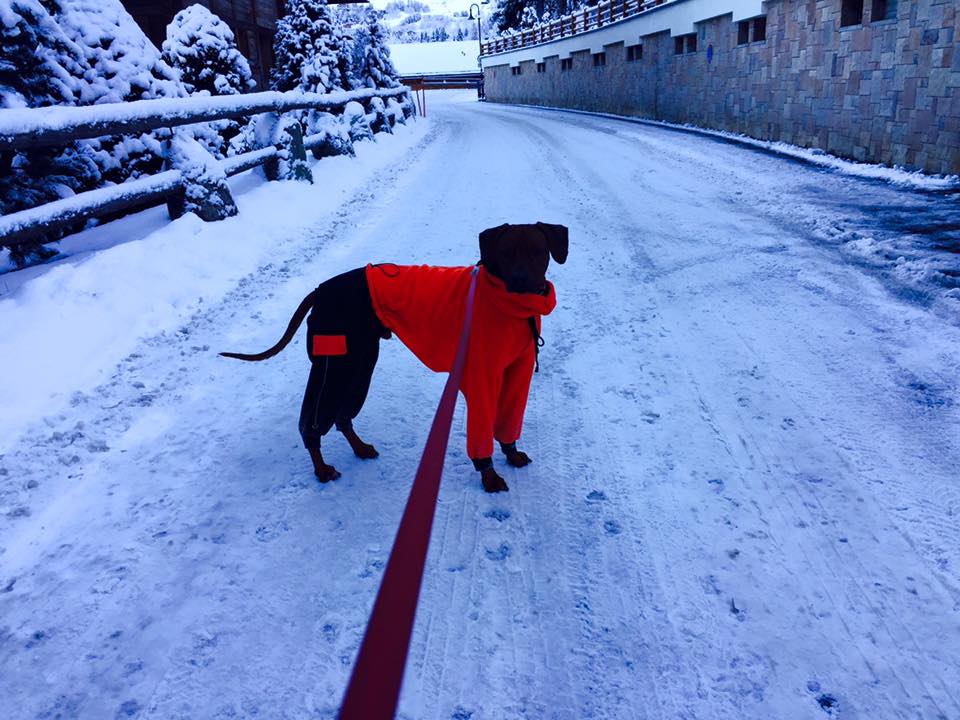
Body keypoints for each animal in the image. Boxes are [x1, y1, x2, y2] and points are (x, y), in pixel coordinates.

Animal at [220, 222, 568, 493]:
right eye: (506, 252)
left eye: (538, 251)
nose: (521, 281)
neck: (511, 310)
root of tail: (321, 290)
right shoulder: (481, 378)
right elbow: (481, 437)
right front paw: (490, 477)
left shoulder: (517, 376)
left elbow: (508, 425)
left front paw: (512, 453)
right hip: (335, 365)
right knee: (313, 424)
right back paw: (322, 469)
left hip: (361, 363)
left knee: (343, 417)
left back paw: (360, 449)